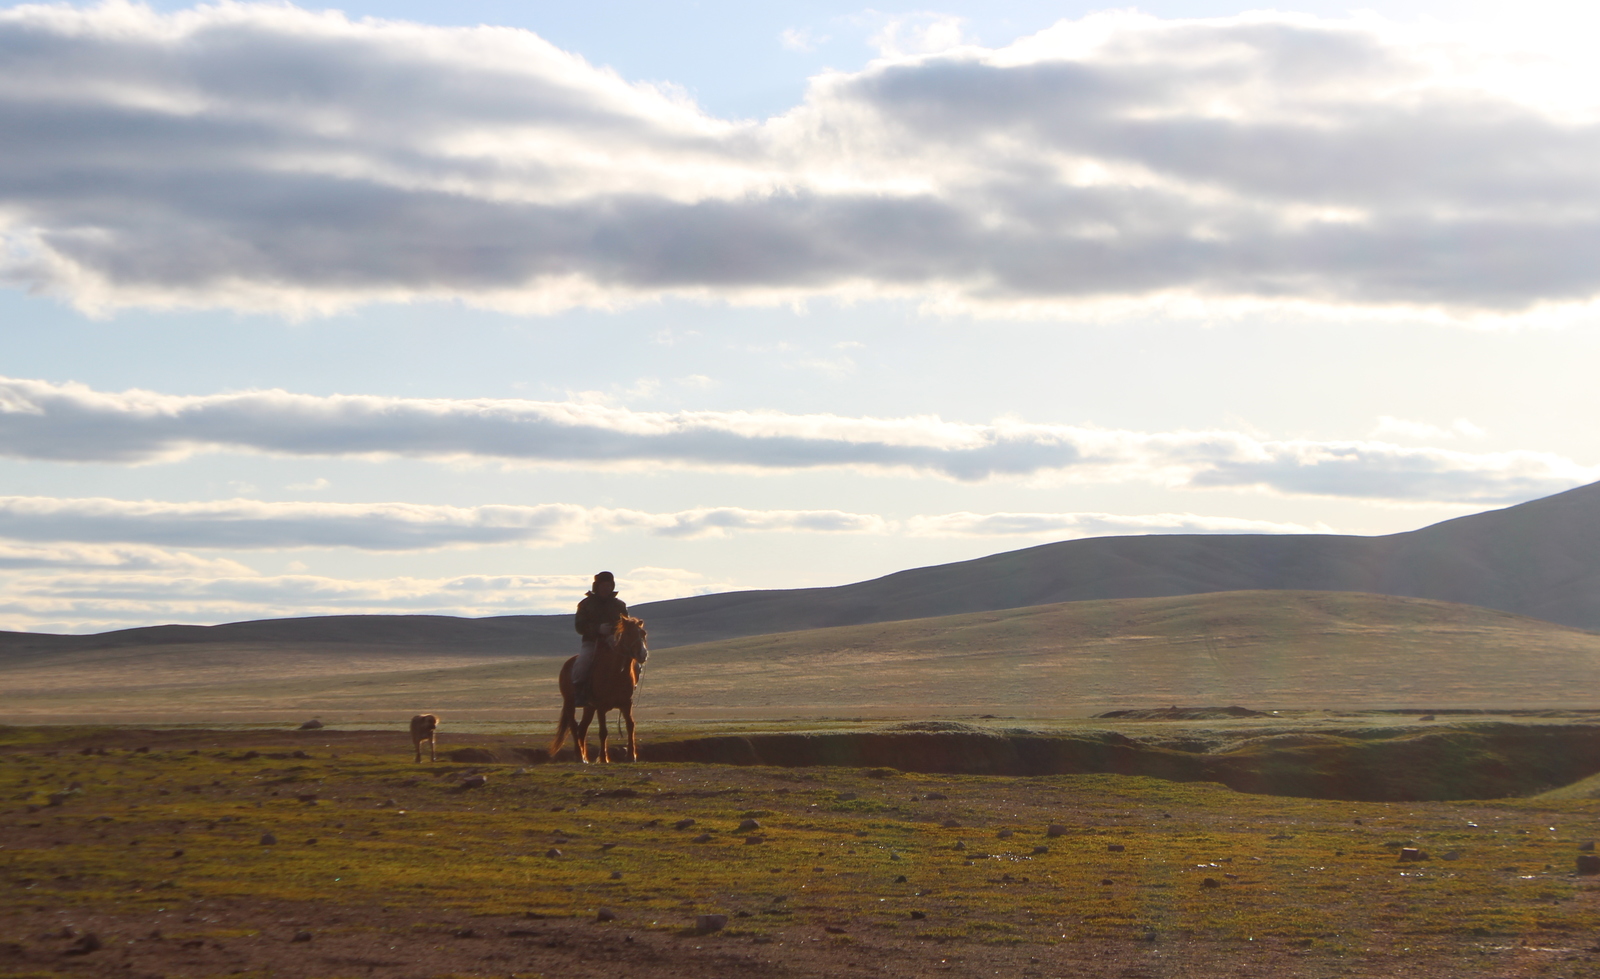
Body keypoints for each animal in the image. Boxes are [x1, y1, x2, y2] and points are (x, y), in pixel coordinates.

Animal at [550, 614, 649, 761]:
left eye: (643, 633)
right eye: (628, 633)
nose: (643, 654)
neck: (616, 673)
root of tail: (567, 664)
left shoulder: (626, 704)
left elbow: (630, 725)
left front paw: (632, 755)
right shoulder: (601, 707)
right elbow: (603, 731)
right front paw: (603, 758)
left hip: (589, 708)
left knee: (582, 729)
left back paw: (585, 757)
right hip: (569, 702)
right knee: (574, 726)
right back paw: (579, 756)